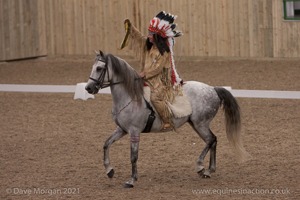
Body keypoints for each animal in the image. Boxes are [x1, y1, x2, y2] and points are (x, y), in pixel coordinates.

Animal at [85, 50, 248, 188]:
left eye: (99, 68)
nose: (88, 88)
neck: (131, 97)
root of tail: (213, 89)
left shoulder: (134, 132)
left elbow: (133, 156)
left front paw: (131, 180)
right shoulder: (122, 130)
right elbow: (106, 144)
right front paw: (109, 170)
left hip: (200, 124)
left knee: (211, 140)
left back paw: (201, 167)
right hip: (197, 125)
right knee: (212, 140)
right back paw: (208, 171)